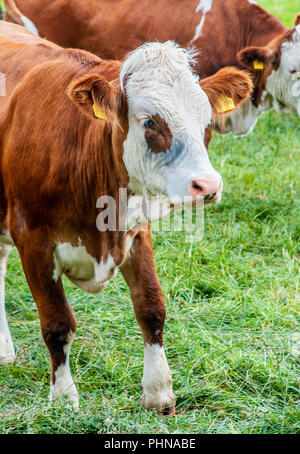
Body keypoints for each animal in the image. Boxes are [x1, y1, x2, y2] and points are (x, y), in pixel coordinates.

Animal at [0, 20, 253, 412]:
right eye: (149, 121)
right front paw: (64, 399)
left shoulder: (135, 231)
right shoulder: (32, 237)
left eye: (206, 120)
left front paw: (159, 392)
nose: (207, 185)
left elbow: (151, 307)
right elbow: (57, 323)